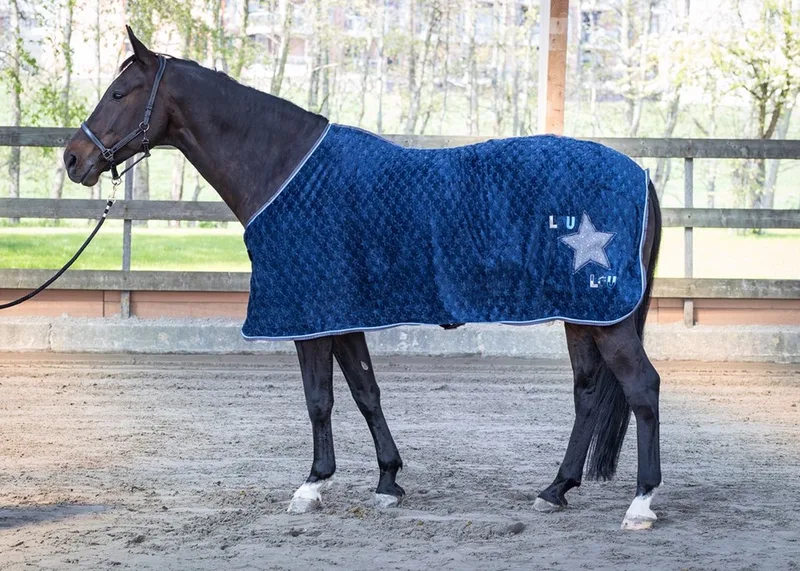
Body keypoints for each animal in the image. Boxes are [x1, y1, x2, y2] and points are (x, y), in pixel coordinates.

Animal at [64, 27, 663, 531]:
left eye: (118, 93)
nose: (73, 158)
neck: (283, 168)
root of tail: (639, 172)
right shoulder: (341, 314)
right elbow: (365, 391)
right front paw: (388, 480)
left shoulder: (308, 315)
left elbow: (319, 398)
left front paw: (312, 485)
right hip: (583, 315)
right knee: (587, 394)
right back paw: (556, 489)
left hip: (607, 319)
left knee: (642, 388)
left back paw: (640, 503)